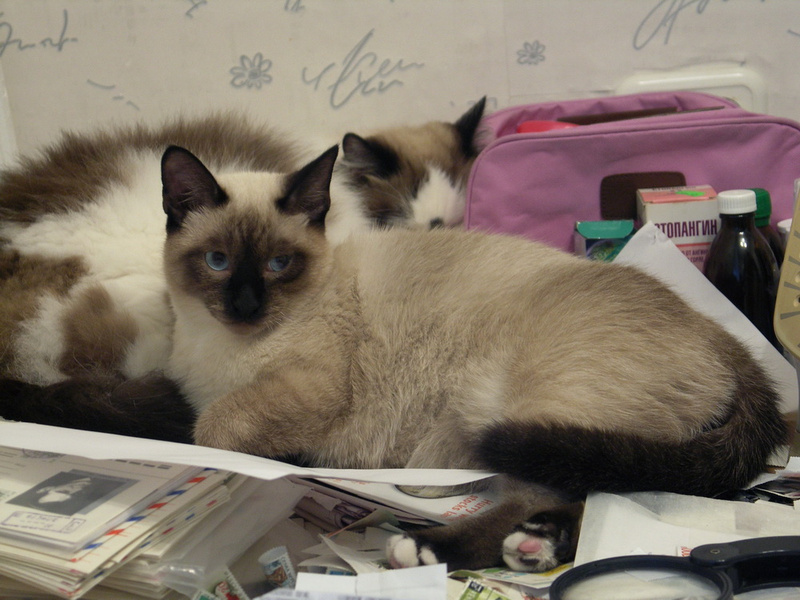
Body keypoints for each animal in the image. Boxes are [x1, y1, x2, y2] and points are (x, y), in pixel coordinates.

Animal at [161, 141, 788, 573]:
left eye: (278, 265)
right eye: (217, 261)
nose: (245, 306)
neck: (223, 348)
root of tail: (724, 336)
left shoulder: (309, 391)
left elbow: (211, 429)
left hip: (506, 407)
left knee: (559, 487)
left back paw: (427, 548)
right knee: (593, 488)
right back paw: (535, 546)